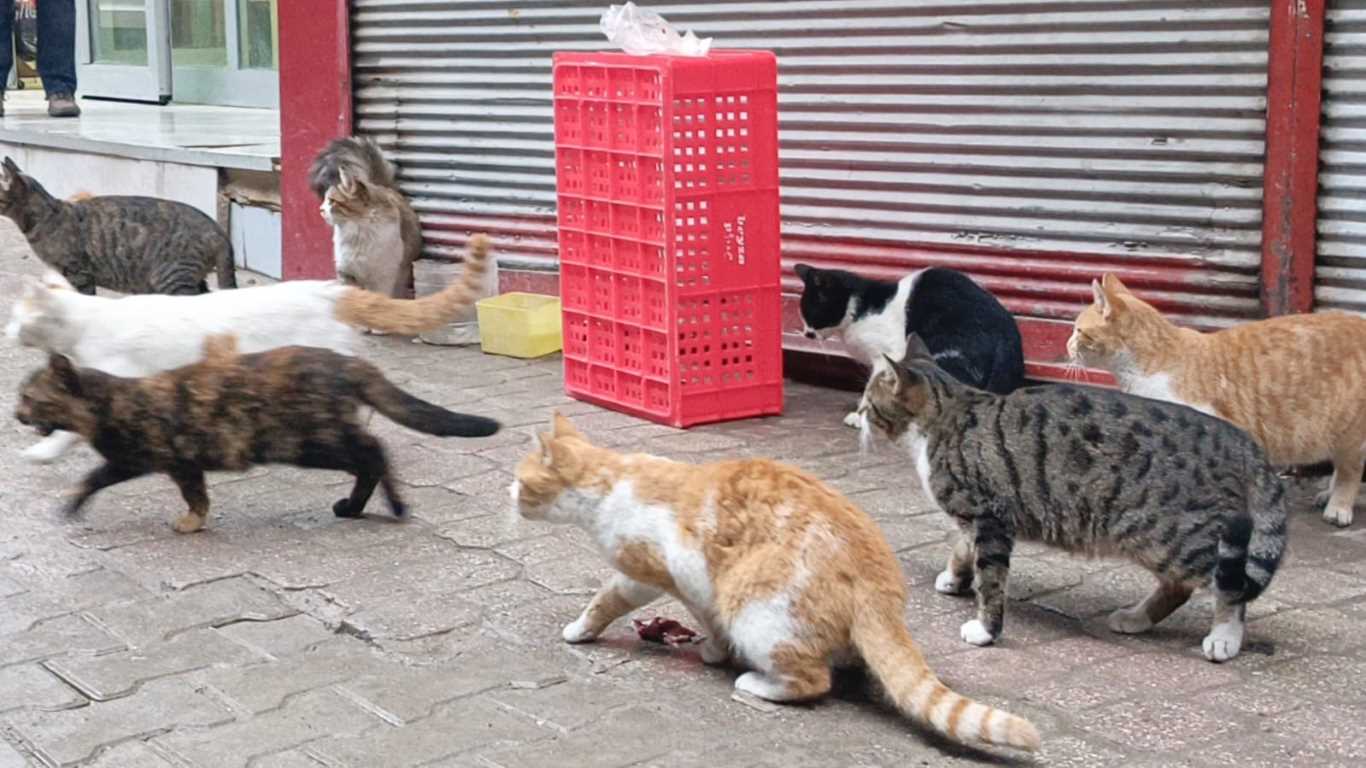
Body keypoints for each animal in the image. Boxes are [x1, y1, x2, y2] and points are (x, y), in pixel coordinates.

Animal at [16, 334, 499, 532]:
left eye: (28, 396)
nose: (16, 413)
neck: (110, 402)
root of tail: (348, 361)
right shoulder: (171, 463)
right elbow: (195, 493)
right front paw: (195, 520)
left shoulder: (156, 459)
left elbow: (95, 478)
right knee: (372, 454)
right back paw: (366, 507)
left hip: (307, 440)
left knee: (374, 451)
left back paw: (379, 507)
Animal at [510, 409, 1032, 748]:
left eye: (520, 479)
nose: (506, 492)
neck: (610, 481)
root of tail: (878, 584)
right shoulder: (701, 585)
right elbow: (707, 618)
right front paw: (714, 650)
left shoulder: (644, 573)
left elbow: (604, 599)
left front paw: (580, 629)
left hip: (758, 612)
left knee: (813, 680)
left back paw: (757, 682)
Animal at [792, 259, 1027, 420]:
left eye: (810, 313)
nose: (807, 333)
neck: (858, 311)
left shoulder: (887, 354)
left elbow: (873, 383)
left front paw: (861, 416)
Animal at [857, 334, 1284, 664]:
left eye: (868, 401)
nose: (857, 414)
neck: (946, 412)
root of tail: (1240, 440)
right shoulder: (973, 518)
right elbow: (962, 549)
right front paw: (955, 577)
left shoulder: (989, 518)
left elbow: (991, 580)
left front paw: (985, 629)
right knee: (1180, 587)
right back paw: (1136, 618)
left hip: (1170, 535)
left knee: (1228, 587)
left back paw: (1224, 637)